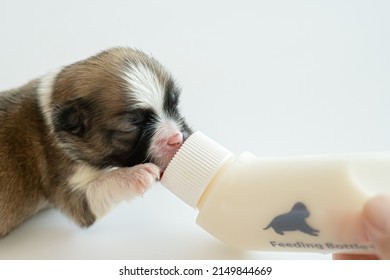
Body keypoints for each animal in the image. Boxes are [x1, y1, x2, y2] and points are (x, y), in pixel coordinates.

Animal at [0, 47, 192, 236]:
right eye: (132, 127)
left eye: (173, 105)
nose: (176, 138)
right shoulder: (69, 188)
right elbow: (102, 186)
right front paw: (134, 175)